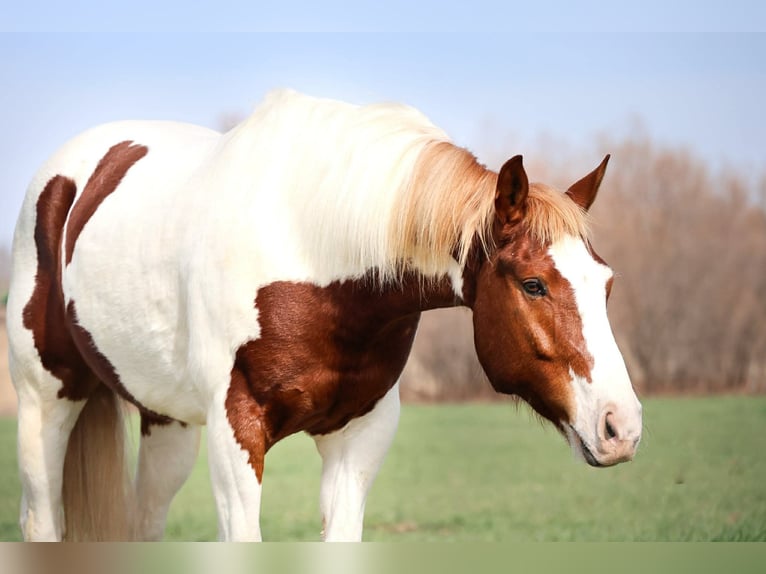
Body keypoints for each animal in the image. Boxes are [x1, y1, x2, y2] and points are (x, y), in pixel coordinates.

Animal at [6, 89, 642, 541]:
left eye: (607, 283)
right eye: (534, 285)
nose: (623, 427)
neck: (316, 252)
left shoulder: (359, 433)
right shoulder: (237, 431)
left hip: (168, 423)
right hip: (45, 404)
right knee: (42, 521)